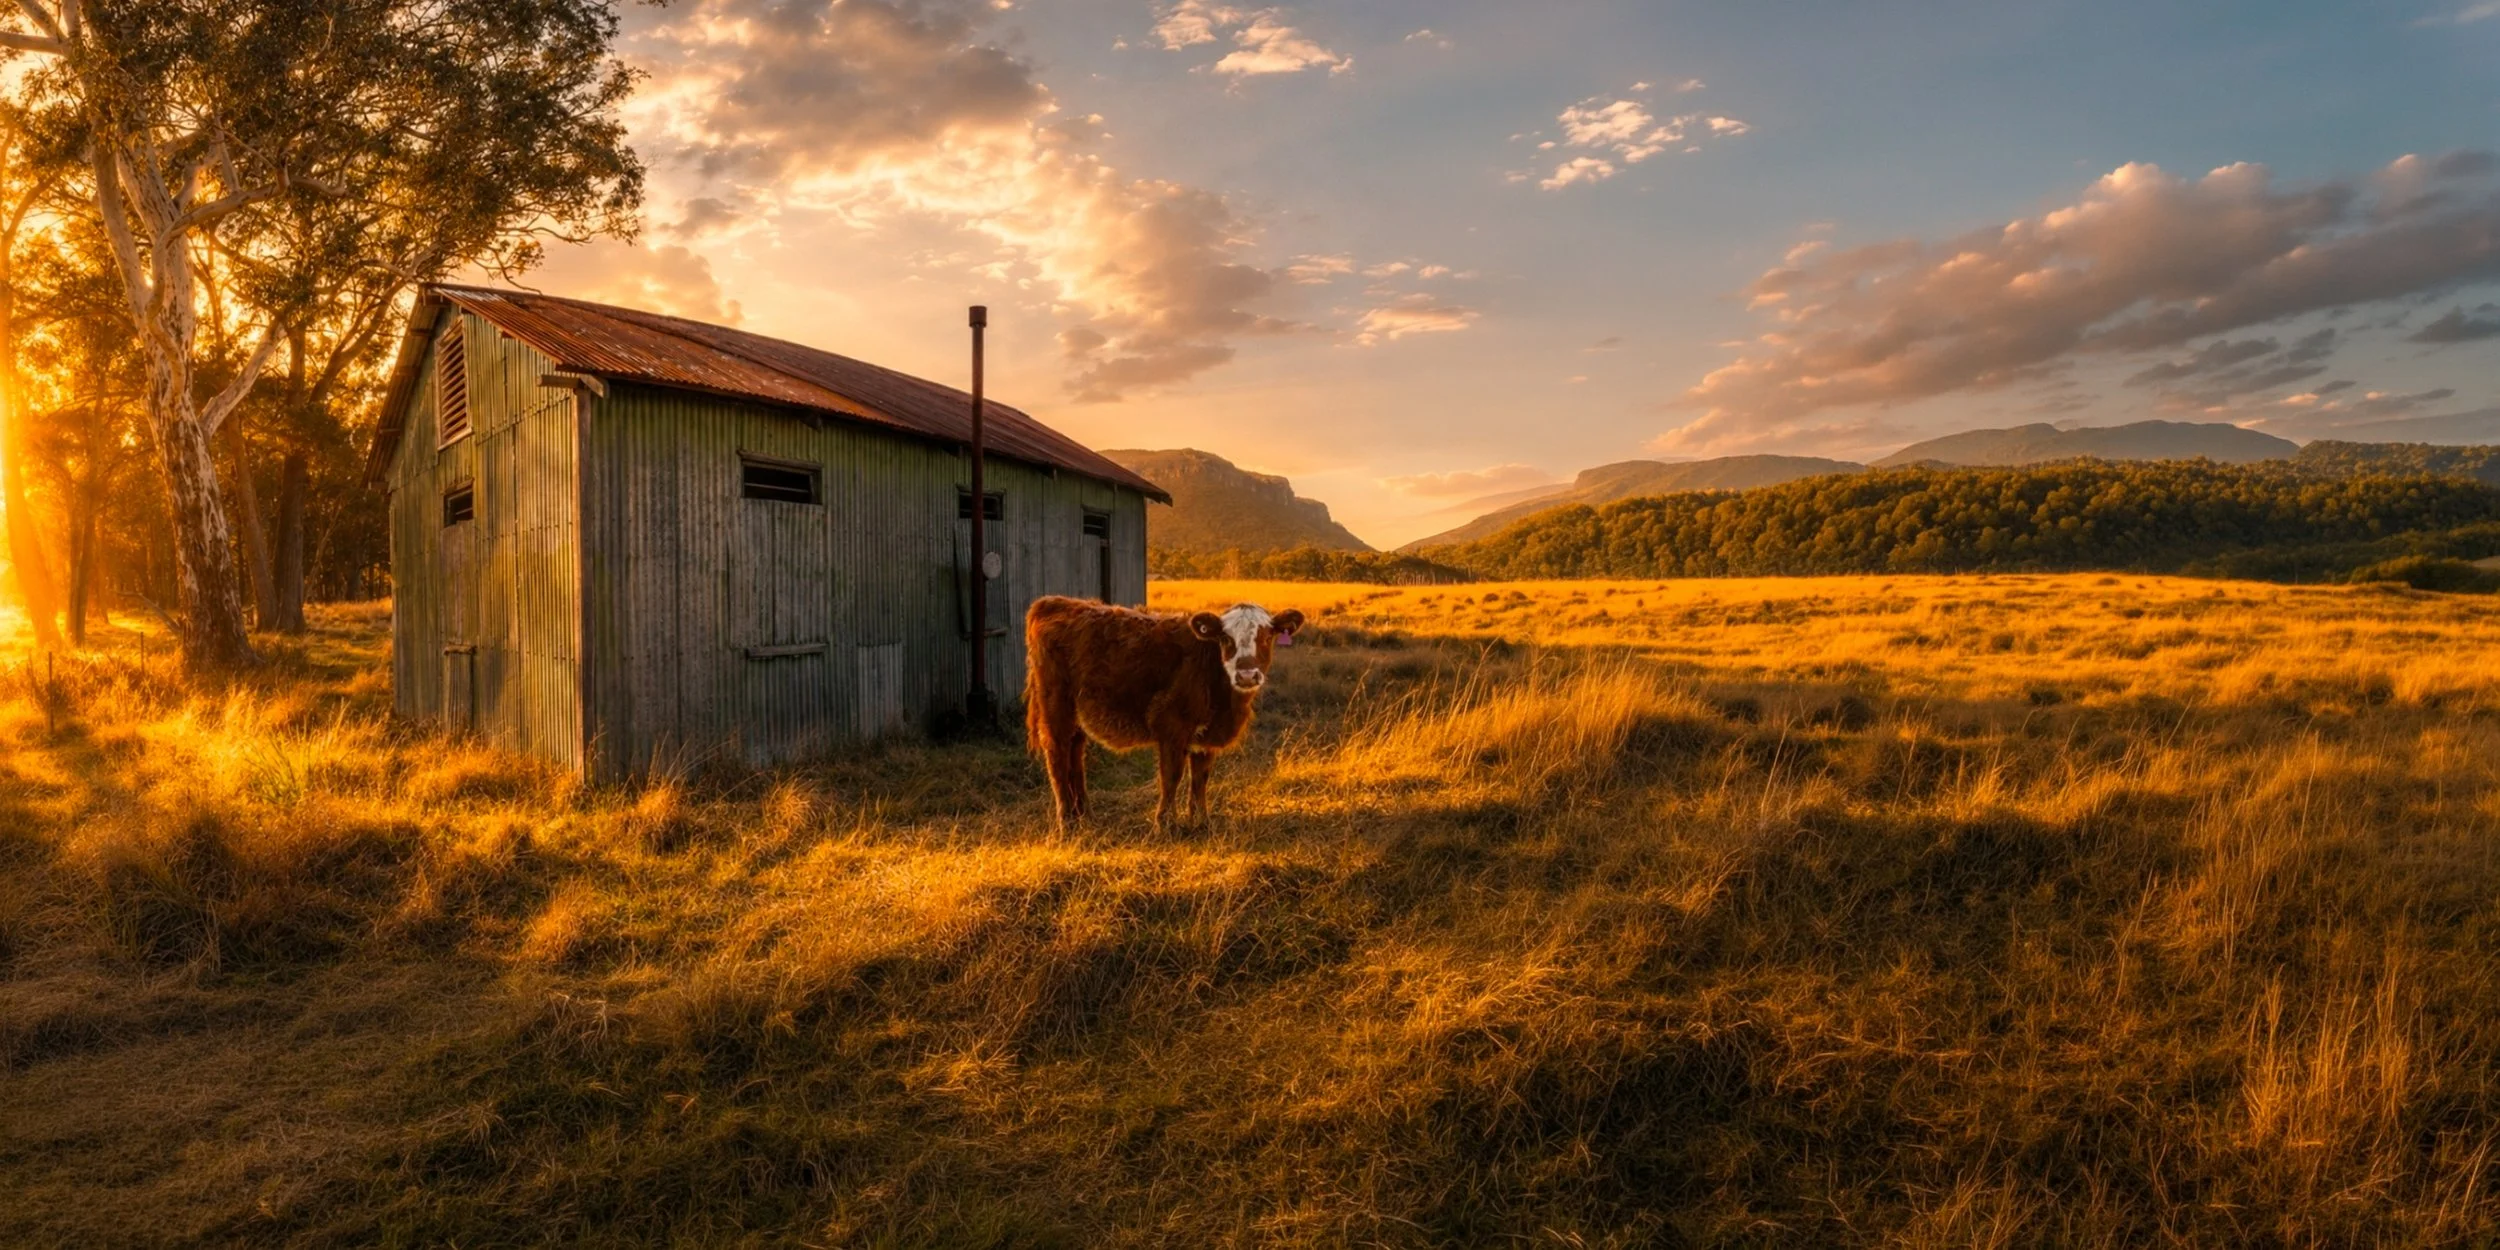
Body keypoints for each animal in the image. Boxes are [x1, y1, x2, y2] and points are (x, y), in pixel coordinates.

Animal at [1024, 596, 1307, 830]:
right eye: (1226, 639)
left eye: (1267, 637)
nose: (1247, 675)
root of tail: (1056, 602)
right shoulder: (1172, 727)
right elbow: (1172, 775)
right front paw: (1166, 823)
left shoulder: (1206, 737)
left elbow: (1200, 778)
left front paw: (1201, 821)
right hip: (1056, 709)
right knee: (1058, 755)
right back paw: (1067, 821)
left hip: (1076, 717)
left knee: (1076, 755)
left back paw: (1085, 816)